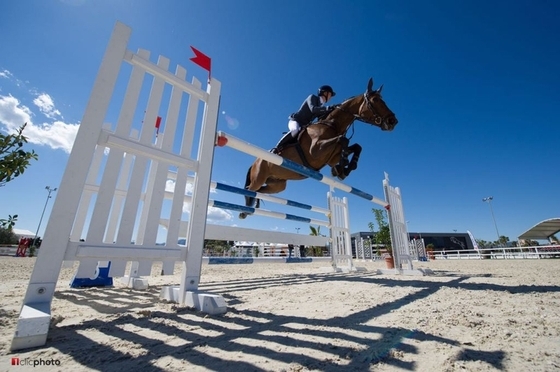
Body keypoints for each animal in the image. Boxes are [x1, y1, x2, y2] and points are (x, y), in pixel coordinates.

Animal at [238, 77, 396, 219]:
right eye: (375, 100)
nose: (393, 121)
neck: (332, 124)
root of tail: (255, 162)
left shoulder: (332, 155)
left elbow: (356, 147)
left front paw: (344, 169)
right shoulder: (315, 151)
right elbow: (343, 140)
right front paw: (342, 167)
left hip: (277, 185)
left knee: (259, 191)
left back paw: (252, 206)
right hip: (258, 178)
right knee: (249, 189)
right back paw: (244, 211)